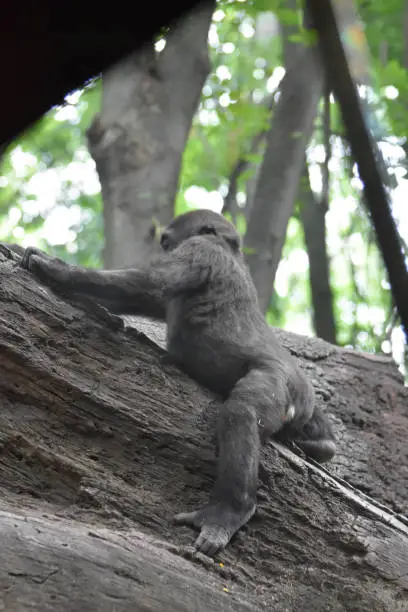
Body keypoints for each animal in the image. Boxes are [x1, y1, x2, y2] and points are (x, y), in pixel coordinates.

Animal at [18, 209, 334, 556]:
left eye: (168, 242)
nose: (165, 247)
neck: (230, 249)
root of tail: (302, 397)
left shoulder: (201, 250)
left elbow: (148, 282)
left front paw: (54, 267)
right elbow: (140, 296)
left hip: (280, 383)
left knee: (241, 414)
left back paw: (228, 512)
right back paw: (320, 444)